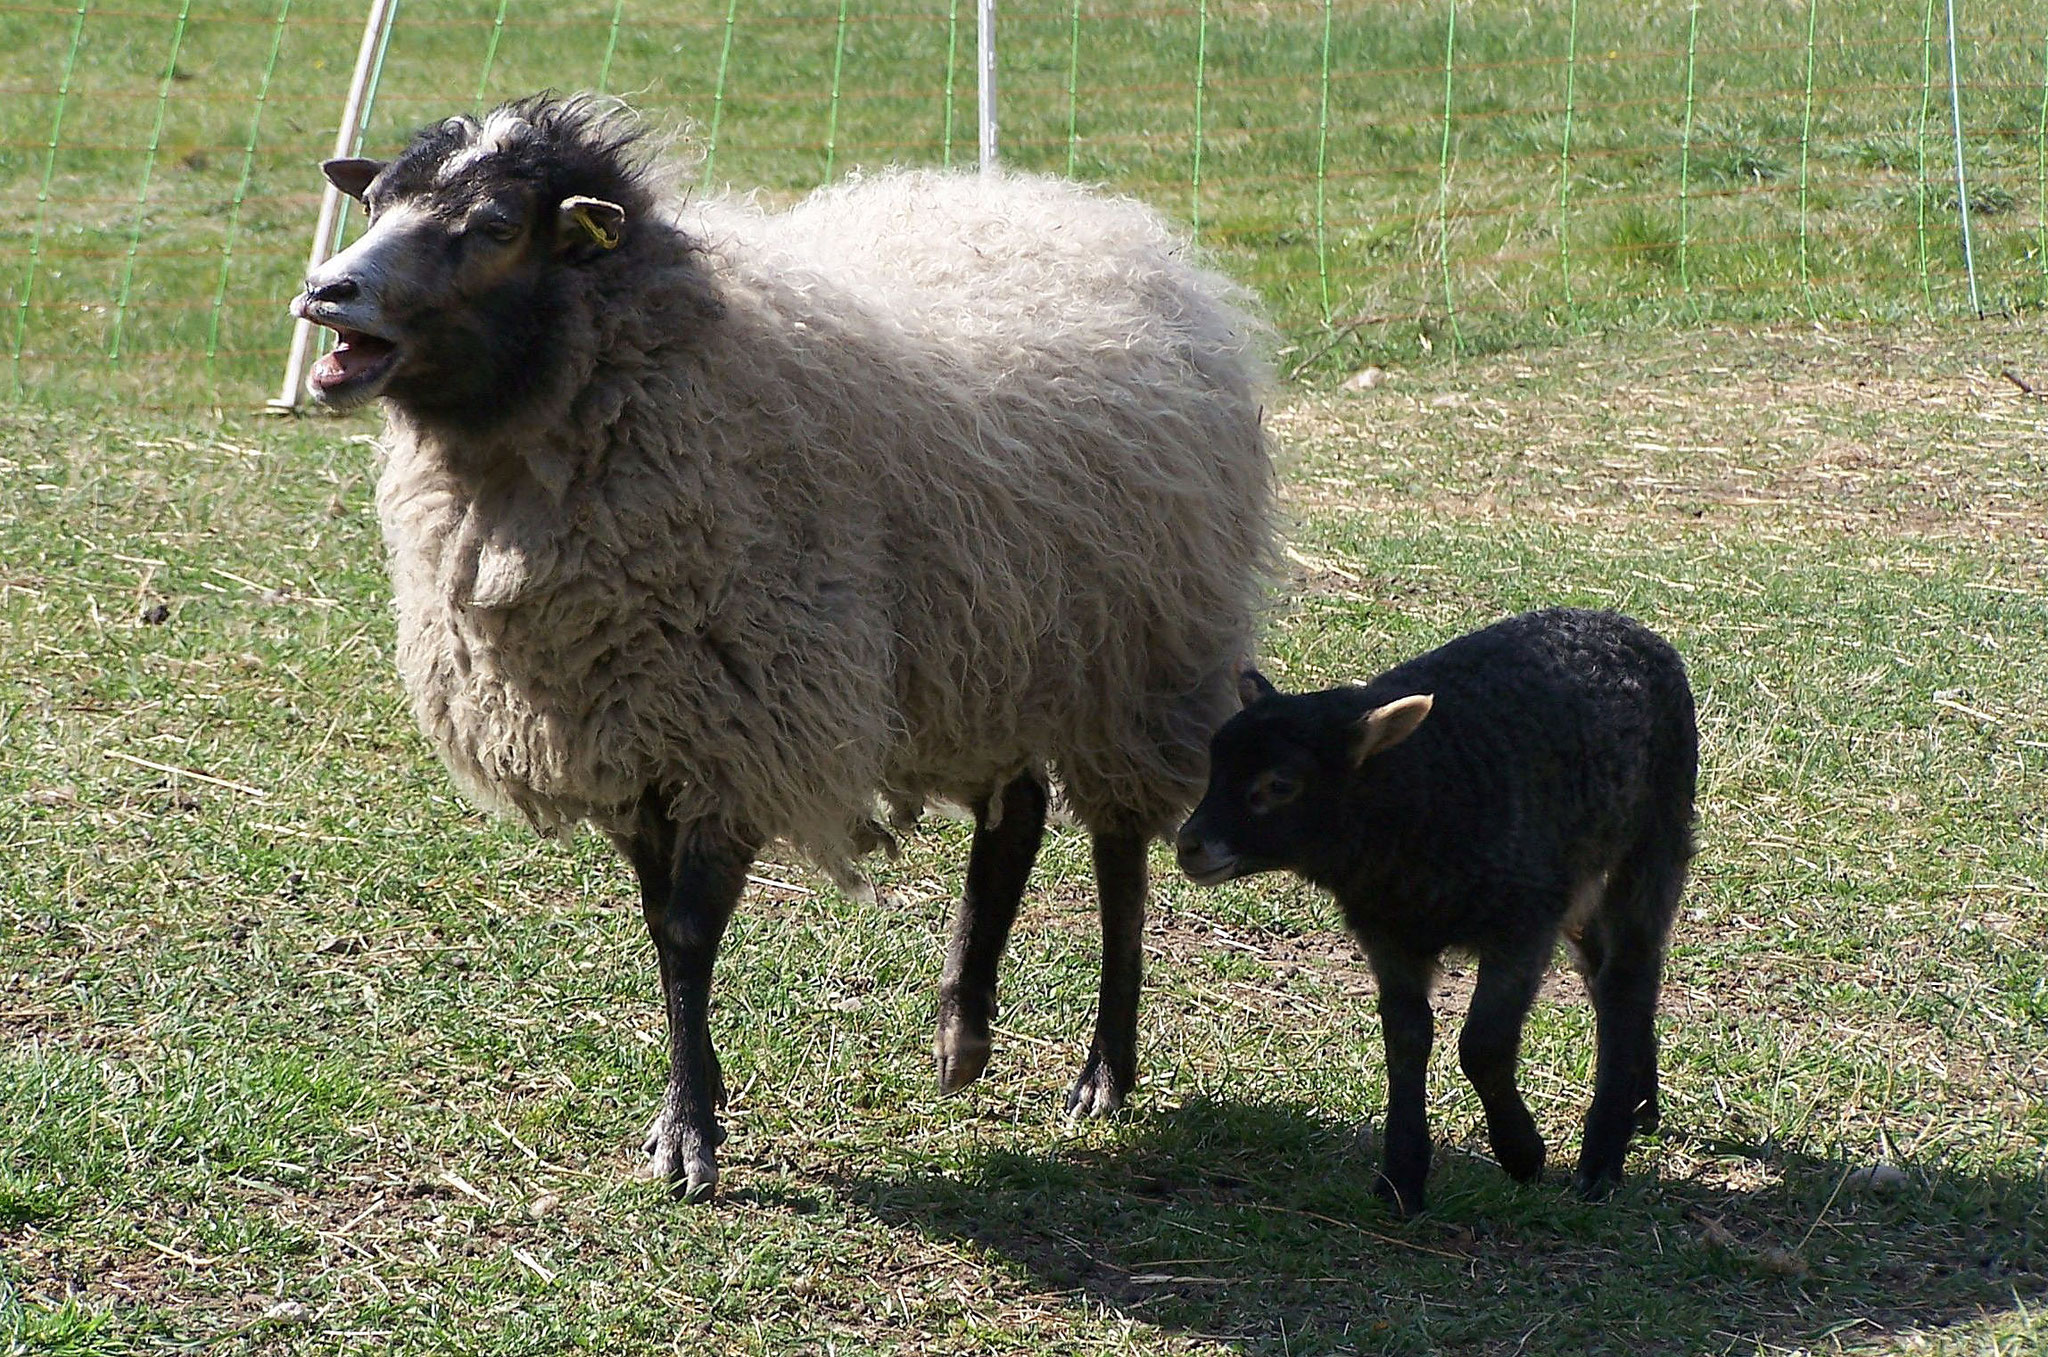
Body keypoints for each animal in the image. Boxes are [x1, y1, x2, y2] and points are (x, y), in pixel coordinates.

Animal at [294, 95, 1269, 1203]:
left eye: (496, 225)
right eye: (373, 201)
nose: (326, 291)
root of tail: (1081, 211)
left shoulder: (741, 722)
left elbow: (689, 928)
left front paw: (688, 1133)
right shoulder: (635, 729)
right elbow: (661, 928)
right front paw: (697, 1100)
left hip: (1137, 652)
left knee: (1117, 852)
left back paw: (1104, 1068)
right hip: (988, 642)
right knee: (1016, 813)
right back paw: (963, 1031)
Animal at [1179, 609, 1687, 1211]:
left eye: (1280, 785)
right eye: (1214, 762)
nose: (1189, 845)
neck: (1424, 789)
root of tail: (1617, 621)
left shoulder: (1522, 923)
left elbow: (1483, 1045)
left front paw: (1522, 1154)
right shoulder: (1389, 934)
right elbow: (1406, 1038)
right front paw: (1401, 1178)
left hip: (1654, 836)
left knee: (1627, 973)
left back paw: (1602, 1157)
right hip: (1582, 873)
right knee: (1608, 971)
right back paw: (1640, 1105)